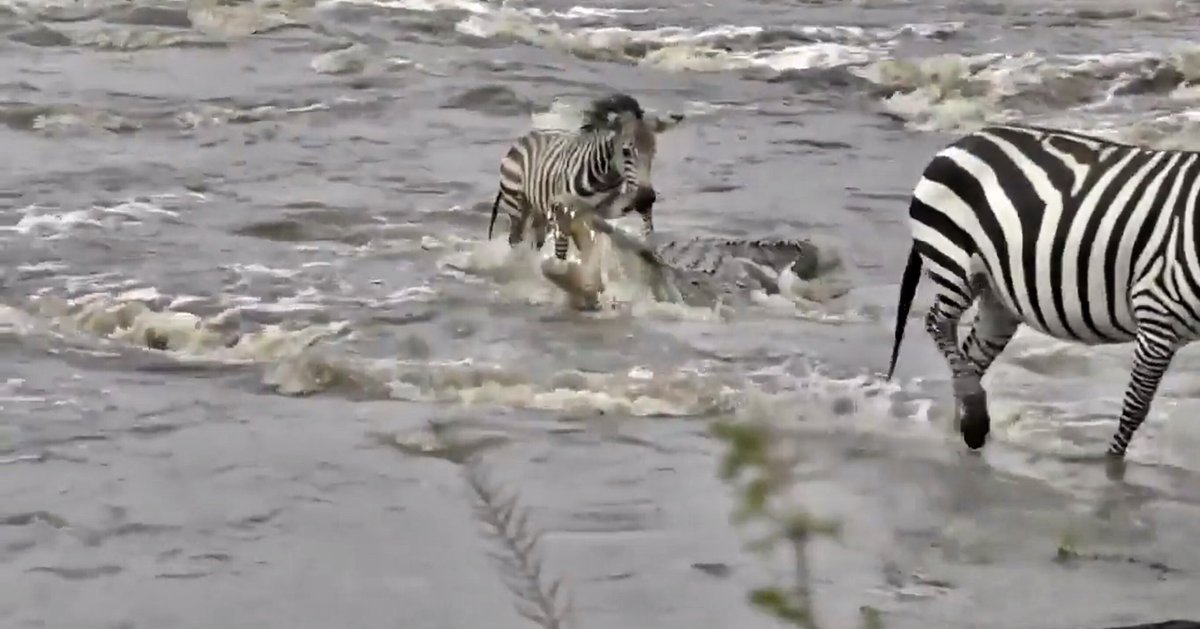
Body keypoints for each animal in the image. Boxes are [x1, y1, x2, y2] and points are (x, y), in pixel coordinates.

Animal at [486, 93, 684, 260]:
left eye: (653, 151)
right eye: (626, 151)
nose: (646, 199)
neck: (605, 180)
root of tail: (523, 139)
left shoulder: (607, 209)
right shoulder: (562, 210)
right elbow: (561, 252)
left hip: (538, 211)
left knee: (536, 241)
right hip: (516, 206)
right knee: (515, 240)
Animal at [886, 123, 1200, 470]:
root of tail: (962, 141)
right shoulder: (1158, 312)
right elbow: (1135, 407)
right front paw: (1111, 467)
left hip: (997, 297)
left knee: (971, 354)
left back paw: (962, 424)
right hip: (953, 262)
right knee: (937, 323)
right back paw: (974, 416)